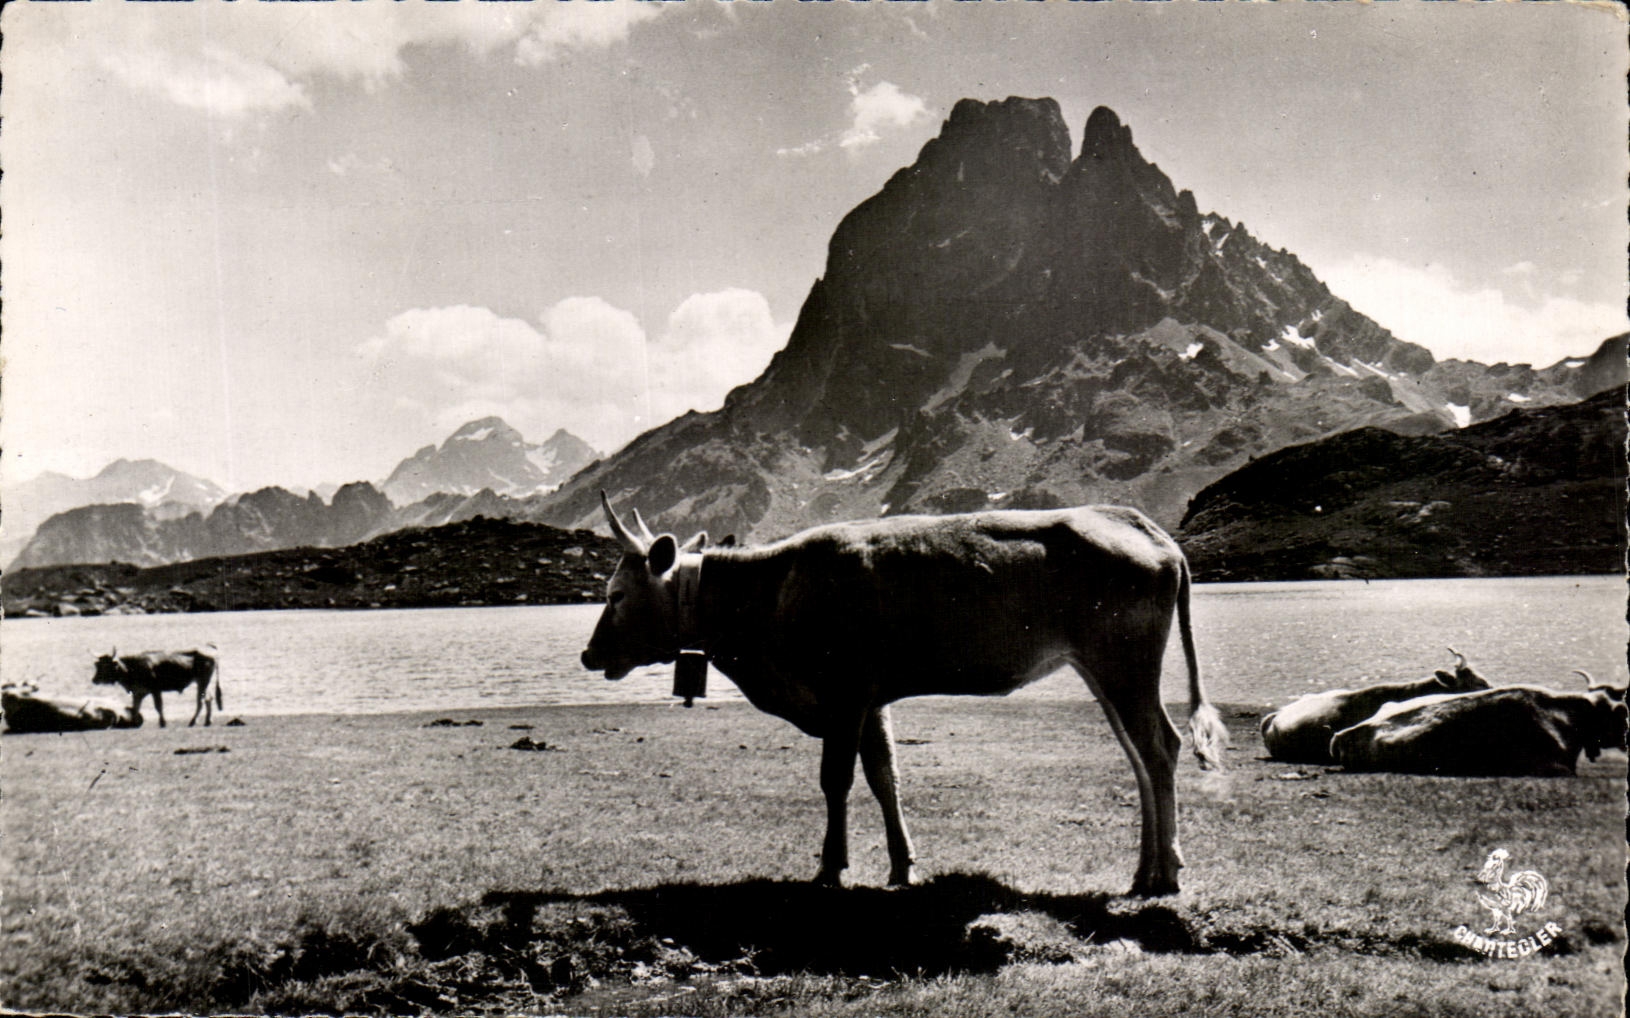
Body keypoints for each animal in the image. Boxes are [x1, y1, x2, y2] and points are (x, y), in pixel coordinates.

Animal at [92, 647, 221, 728]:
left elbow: (158, 706)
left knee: (200, 701)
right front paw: (133, 723)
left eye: (106, 665)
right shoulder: (138, 692)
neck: (132, 667)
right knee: (208, 699)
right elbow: (135, 708)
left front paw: (162, 722)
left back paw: (193, 721)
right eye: (97, 665)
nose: (94, 680)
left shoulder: (155, 690)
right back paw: (207, 721)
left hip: (202, 682)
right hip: (204, 683)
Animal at [580, 493, 1229, 897]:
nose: (588, 655)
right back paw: (1144, 870)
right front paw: (901, 866)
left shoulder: (843, 690)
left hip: (1124, 662)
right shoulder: (872, 698)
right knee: (1141, 756)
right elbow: (884, 775)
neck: (771, 594)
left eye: (615, 594)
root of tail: (1146, 528)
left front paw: (830, 868)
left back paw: (1166, 874)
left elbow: (836, 779)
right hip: (1104, 669)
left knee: (1160, 748)